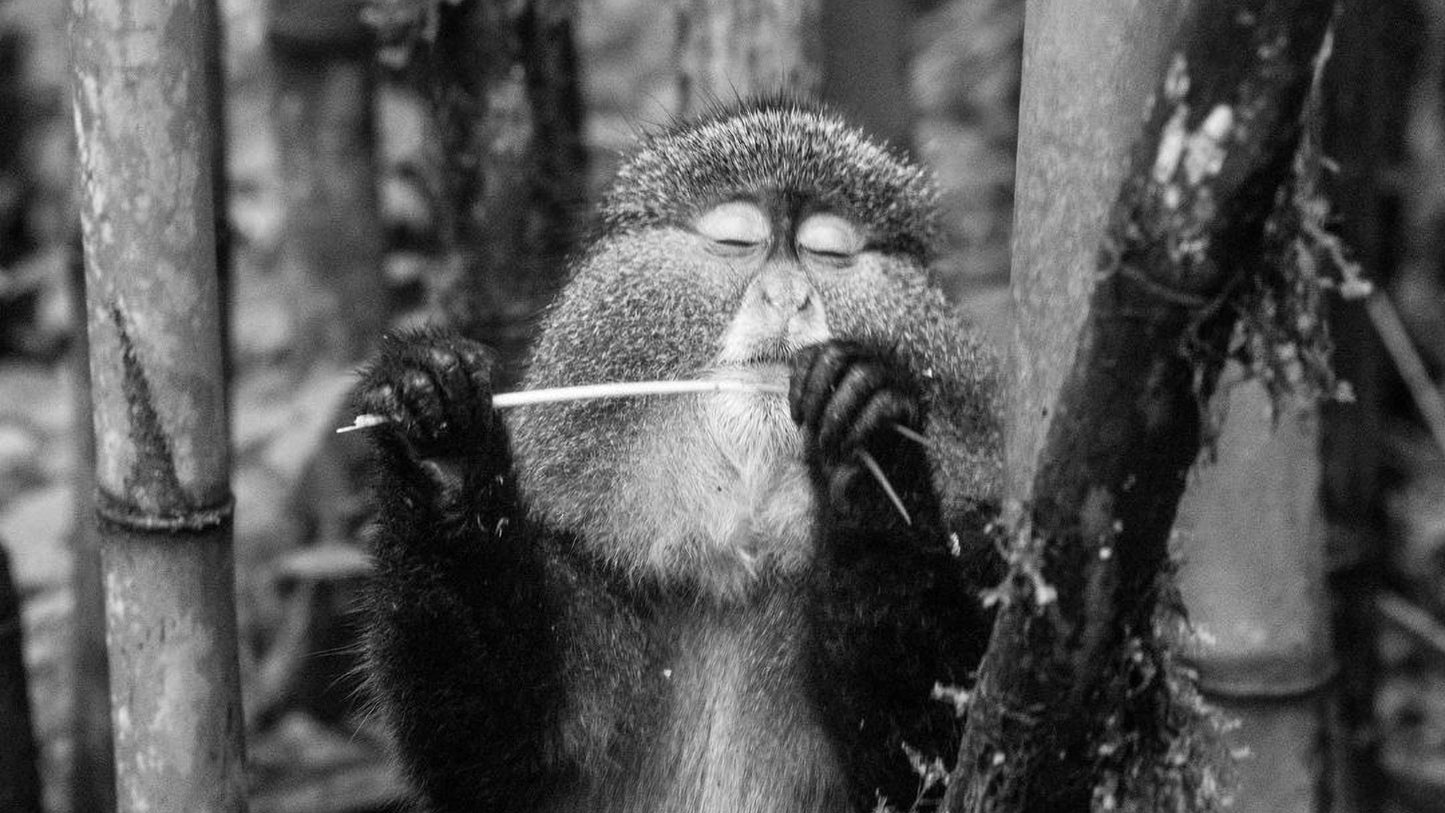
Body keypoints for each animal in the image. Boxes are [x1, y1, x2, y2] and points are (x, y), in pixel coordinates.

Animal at [353, 98, 1004, 813]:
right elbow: (497, 764)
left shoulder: (985, 540)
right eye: (736, 241)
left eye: (827, 250)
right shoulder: (580, 559)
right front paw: (441, 441)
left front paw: (868, 427)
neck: (740, 561)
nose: (788, 296)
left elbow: (934, 760)